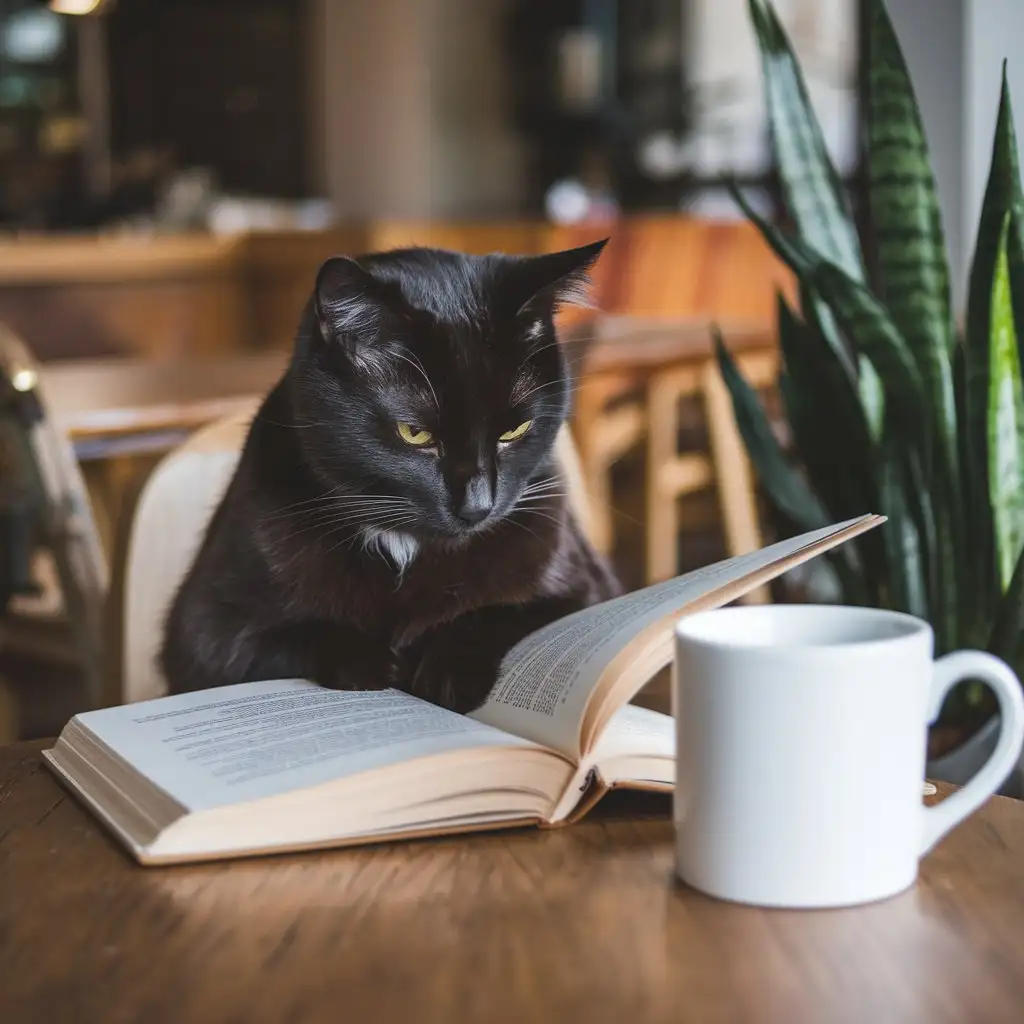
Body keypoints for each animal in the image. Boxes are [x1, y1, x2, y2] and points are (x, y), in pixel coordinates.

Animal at [159, 239, 618, 712]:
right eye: (415, 433)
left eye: (515, 430)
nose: (478, 506)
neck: (402, 544)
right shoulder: (203, 632)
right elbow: (277, 637)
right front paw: (373, 661)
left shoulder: (584, 584)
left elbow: (502, 613)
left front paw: (446, 669)